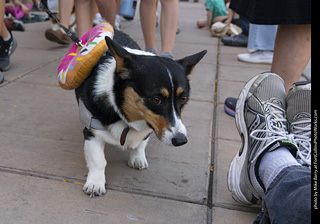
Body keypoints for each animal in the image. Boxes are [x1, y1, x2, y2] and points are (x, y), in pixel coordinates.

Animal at [75, 29, 206, 196]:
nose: (181, 140)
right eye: (156, 99)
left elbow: (141, 143)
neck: (126, 117)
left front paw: (137, 158)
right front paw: (95, 184)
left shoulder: (150, 127)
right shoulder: (92, 131)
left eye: (183, 99)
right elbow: (98, 160)